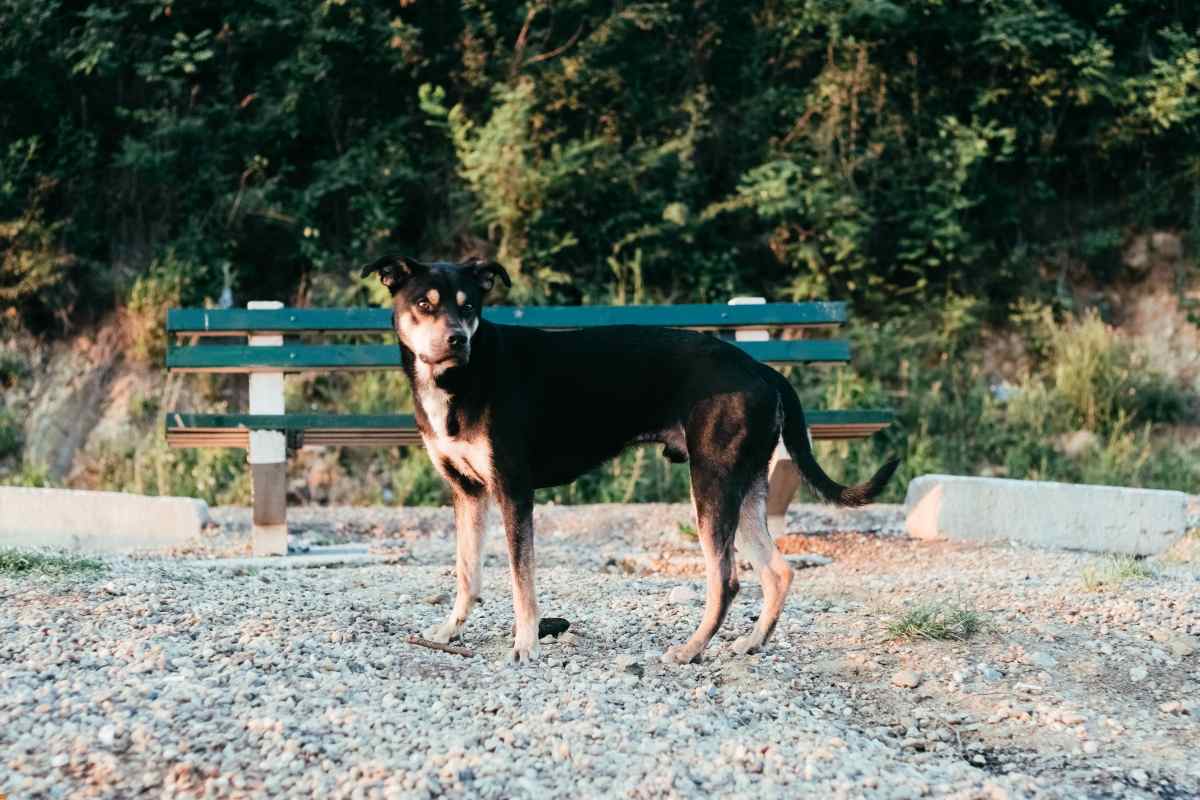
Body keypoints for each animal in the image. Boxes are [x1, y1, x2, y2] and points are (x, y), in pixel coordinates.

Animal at [360, 251, 897, 662]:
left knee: (726, 580)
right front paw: (449, 631)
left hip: (711, 485)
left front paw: (526, 645)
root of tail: (762, 368)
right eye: (424, 304)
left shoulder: (514, 491)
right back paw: (750, 643)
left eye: (469, 306)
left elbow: (521, 580)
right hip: (742, 489)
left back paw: (690, 649)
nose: (457, 339)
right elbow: (467, 572)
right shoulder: (468, 493)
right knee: (778, 573)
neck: (462, 378)